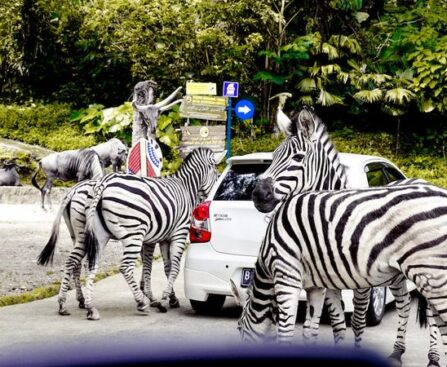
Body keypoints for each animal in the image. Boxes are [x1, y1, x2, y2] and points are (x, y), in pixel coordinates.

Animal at [81, 148, 226, 320]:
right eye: (216, 171)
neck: (186, 187)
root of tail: (104, 181)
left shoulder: (164, 238)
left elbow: (167, 267)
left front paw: (172, 298)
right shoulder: (179, 233)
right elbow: (175, 267)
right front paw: (163, 300)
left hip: (100, 235)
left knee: (90, 265)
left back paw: (91, 308)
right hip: (134, 234)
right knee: (125, 267)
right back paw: (142, 303)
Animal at [248, 107, 444, 367]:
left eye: (298, 158)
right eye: (273, 157)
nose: (259, 195)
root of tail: (418, 179)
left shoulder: (362, 285)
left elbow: (357, 323)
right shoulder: (329, 281)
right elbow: (337, 325)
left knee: (430, 313)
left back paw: (433, 357)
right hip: (398, 275)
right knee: (404, 305)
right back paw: (397, 352)